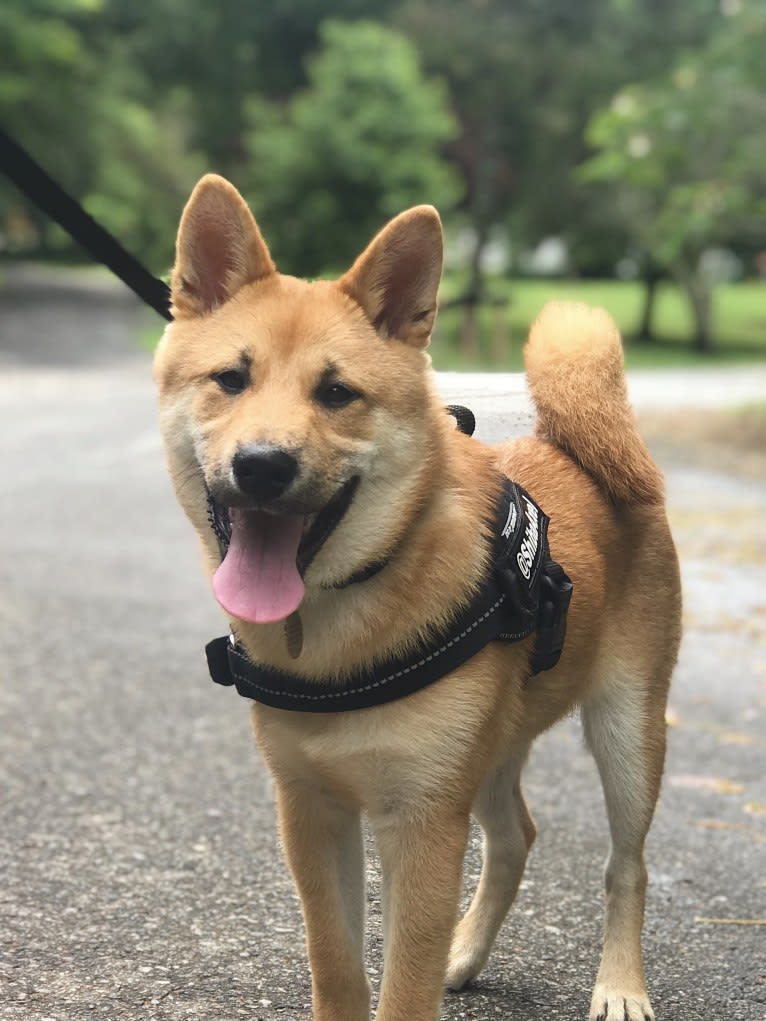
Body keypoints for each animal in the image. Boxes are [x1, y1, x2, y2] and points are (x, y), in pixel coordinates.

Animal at [154, 174, 681, 1021]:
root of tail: (582, 451)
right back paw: (466, 951)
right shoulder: (311, 812)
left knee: (625, 865)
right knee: (516, 836)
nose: (263, 464)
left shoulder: (426, 823)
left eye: (337, 392)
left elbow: (404, 983)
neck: (346, 610)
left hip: (628, 733)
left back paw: (621, 983)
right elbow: (337, 962)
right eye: (230, 379)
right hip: (494, 746)